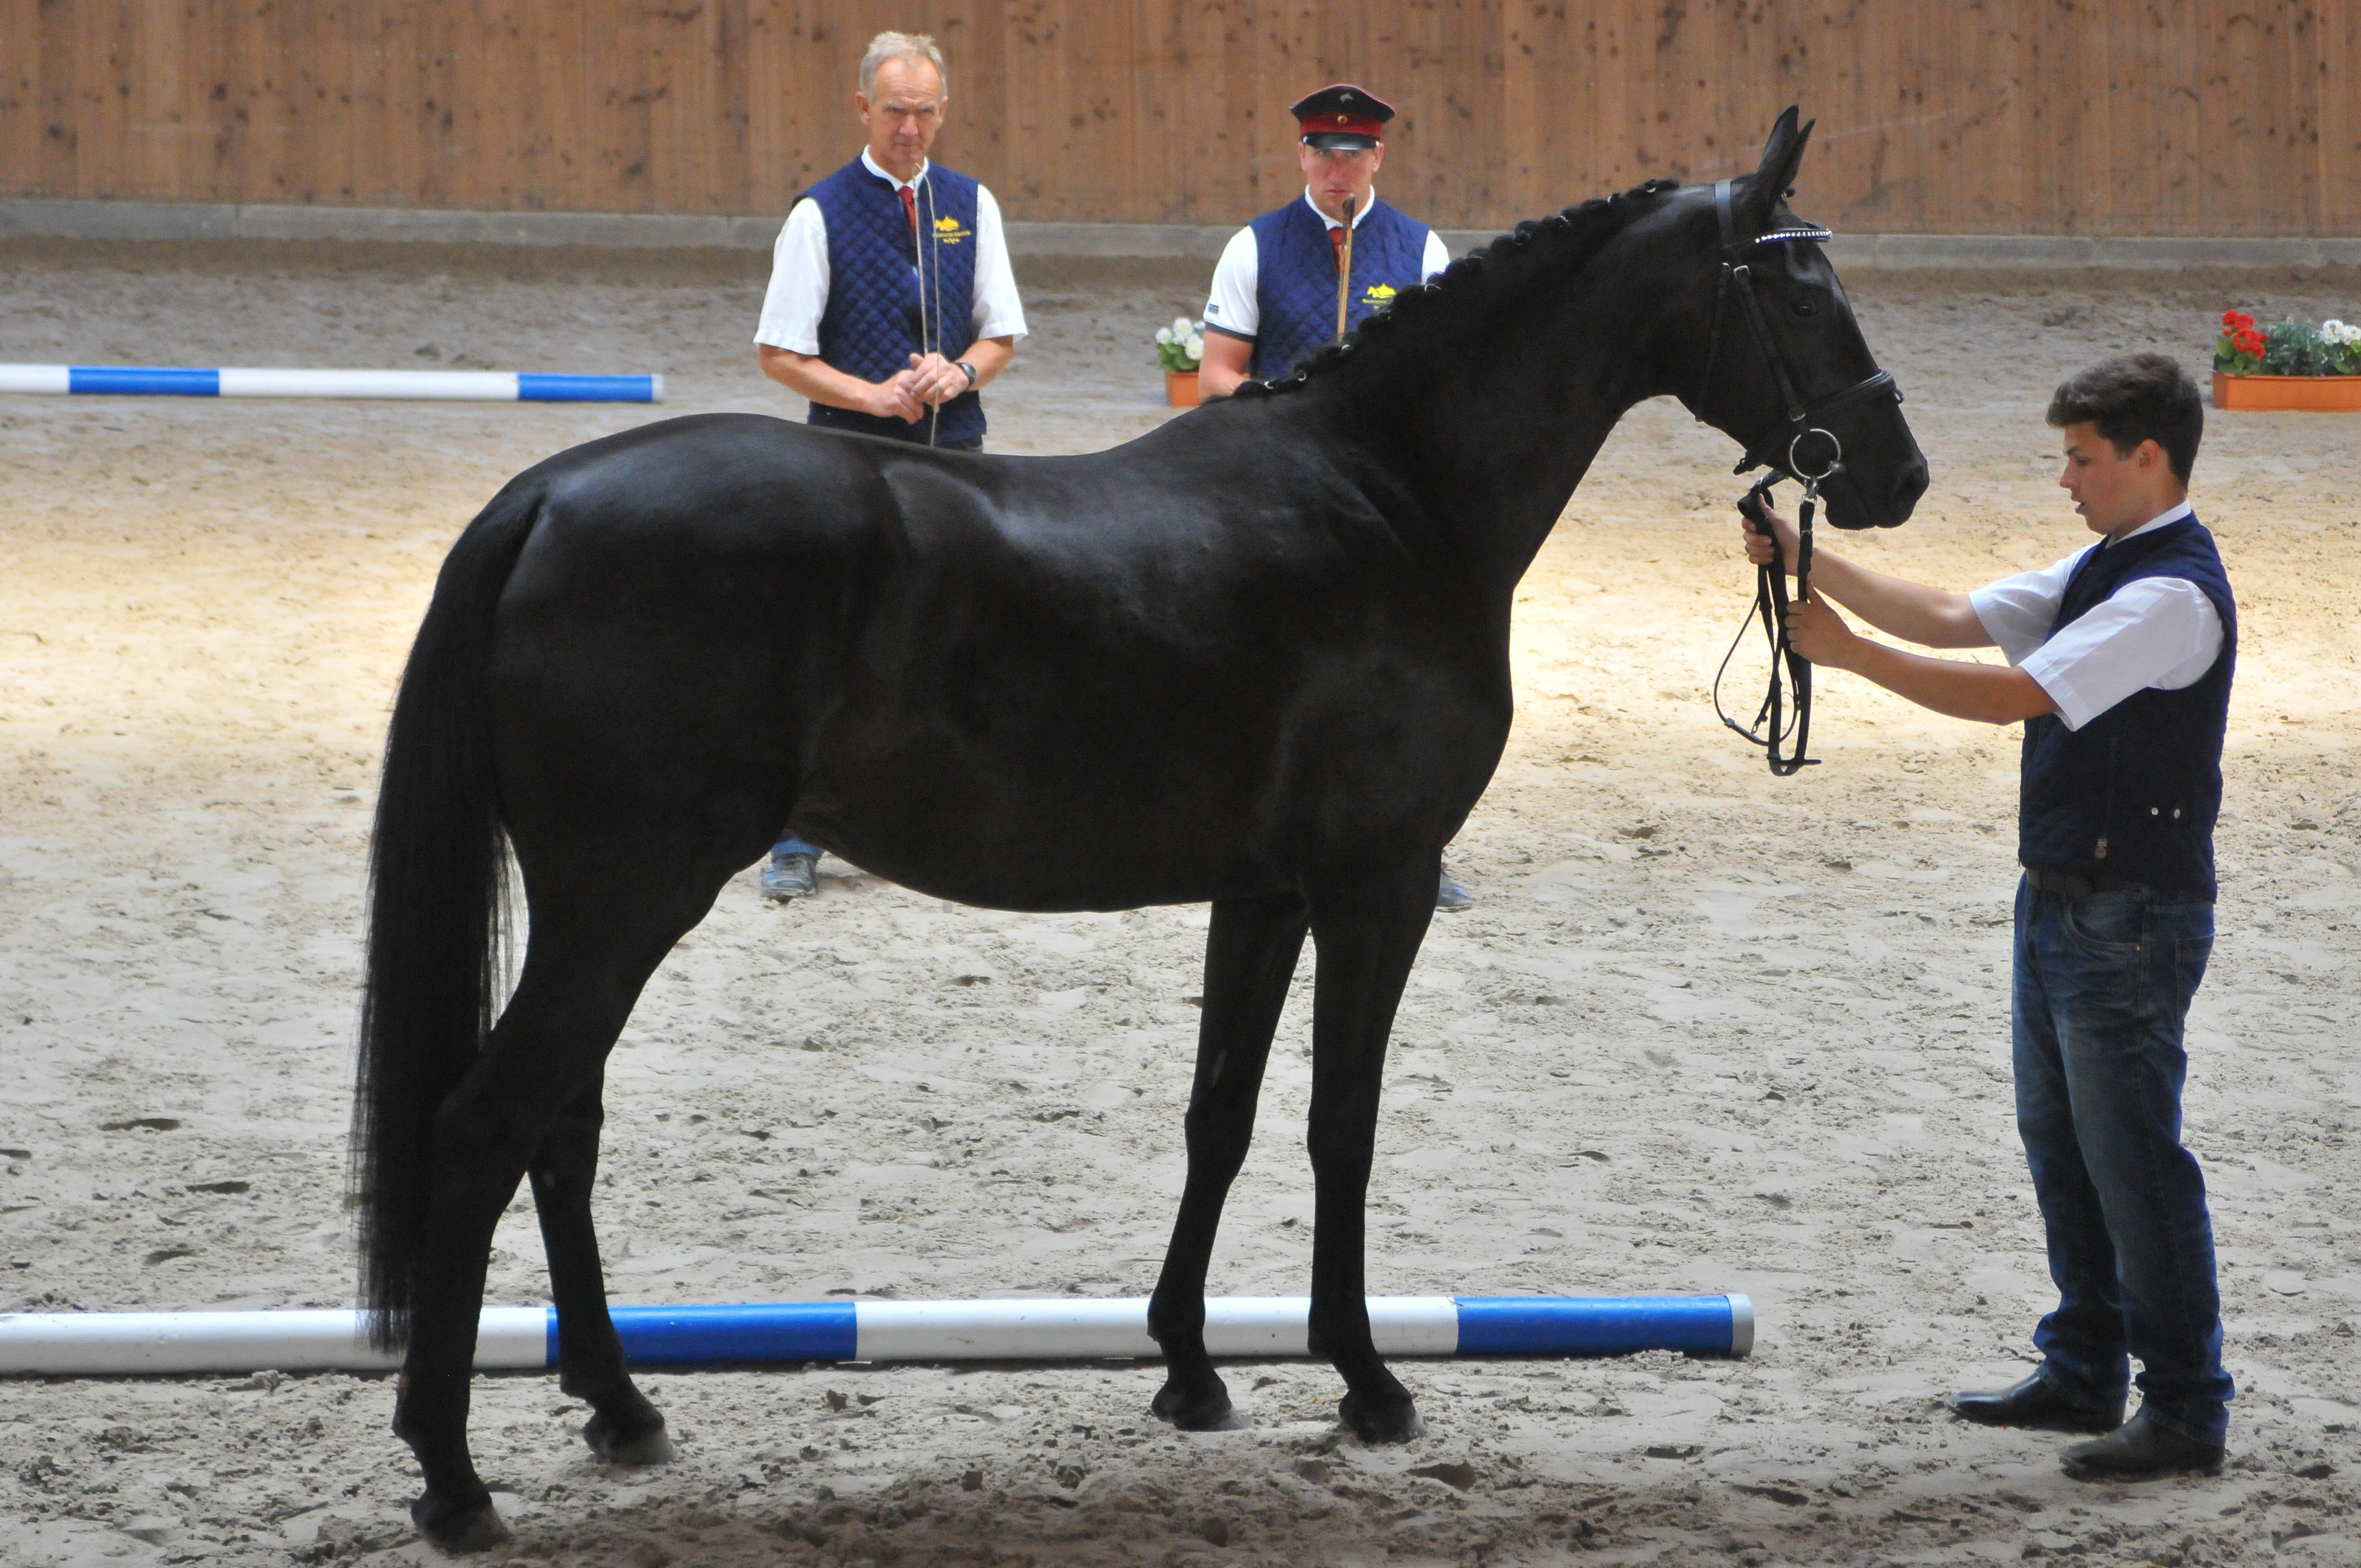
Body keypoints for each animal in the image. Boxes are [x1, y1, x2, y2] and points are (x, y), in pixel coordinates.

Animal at [358, 110, 1927, 1539]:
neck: (1391, 493)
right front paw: (1366, 1379)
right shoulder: (1376, 884)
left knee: (560, 1128)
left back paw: (621, 1404)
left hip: (601, 908)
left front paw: (1187, 1365)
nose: (1897, 473)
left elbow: (1218, 1112)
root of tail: (543, 496)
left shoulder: (1265, 890)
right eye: (1798, 290)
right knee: (486, 1123)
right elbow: (1338, 1122)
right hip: (629, 899)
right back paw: (451, 1476)